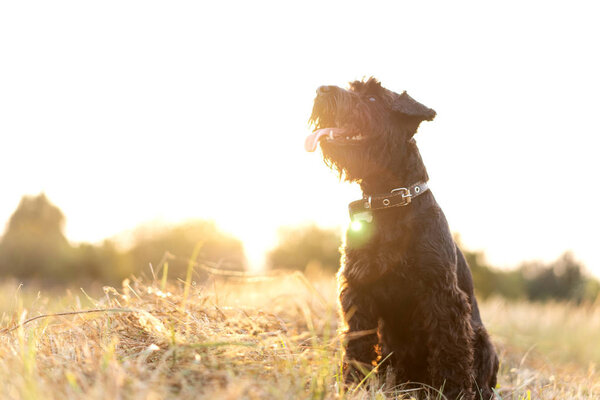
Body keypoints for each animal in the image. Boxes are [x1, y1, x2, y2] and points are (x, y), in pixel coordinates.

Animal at [308, 77, 500, 396]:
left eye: (372, 98)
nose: (321, 90)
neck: (389, 203)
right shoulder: (359, 288)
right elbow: (357, 342)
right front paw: (351, 385)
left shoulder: (441, 294)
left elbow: (451, 349)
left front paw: (453, 392)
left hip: (483, 341)